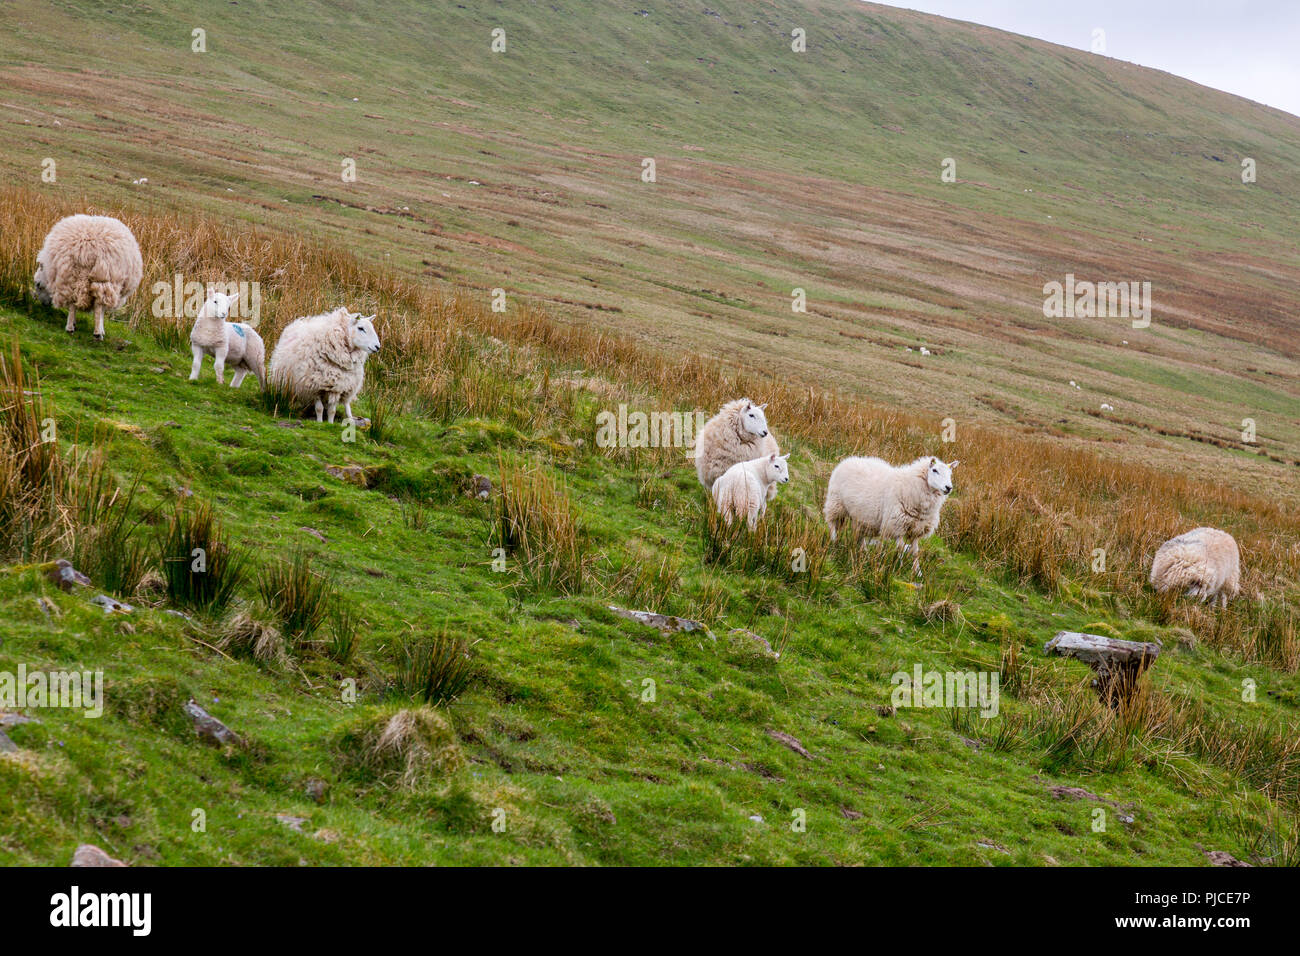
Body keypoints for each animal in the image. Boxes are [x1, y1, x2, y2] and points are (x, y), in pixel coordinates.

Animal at [824, 455, 958, 576]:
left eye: (950, 474)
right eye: (934, 470)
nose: (948, 487)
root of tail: (849, 459)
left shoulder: (917, 529)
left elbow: (915, 552)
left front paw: (917, 572)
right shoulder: (897, 525)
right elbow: (900, 548)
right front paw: (899, 567)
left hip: (860, 516)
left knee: (860, 536)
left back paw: (865, 553)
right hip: (836, 503)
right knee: (832, 524)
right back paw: (834, 543)